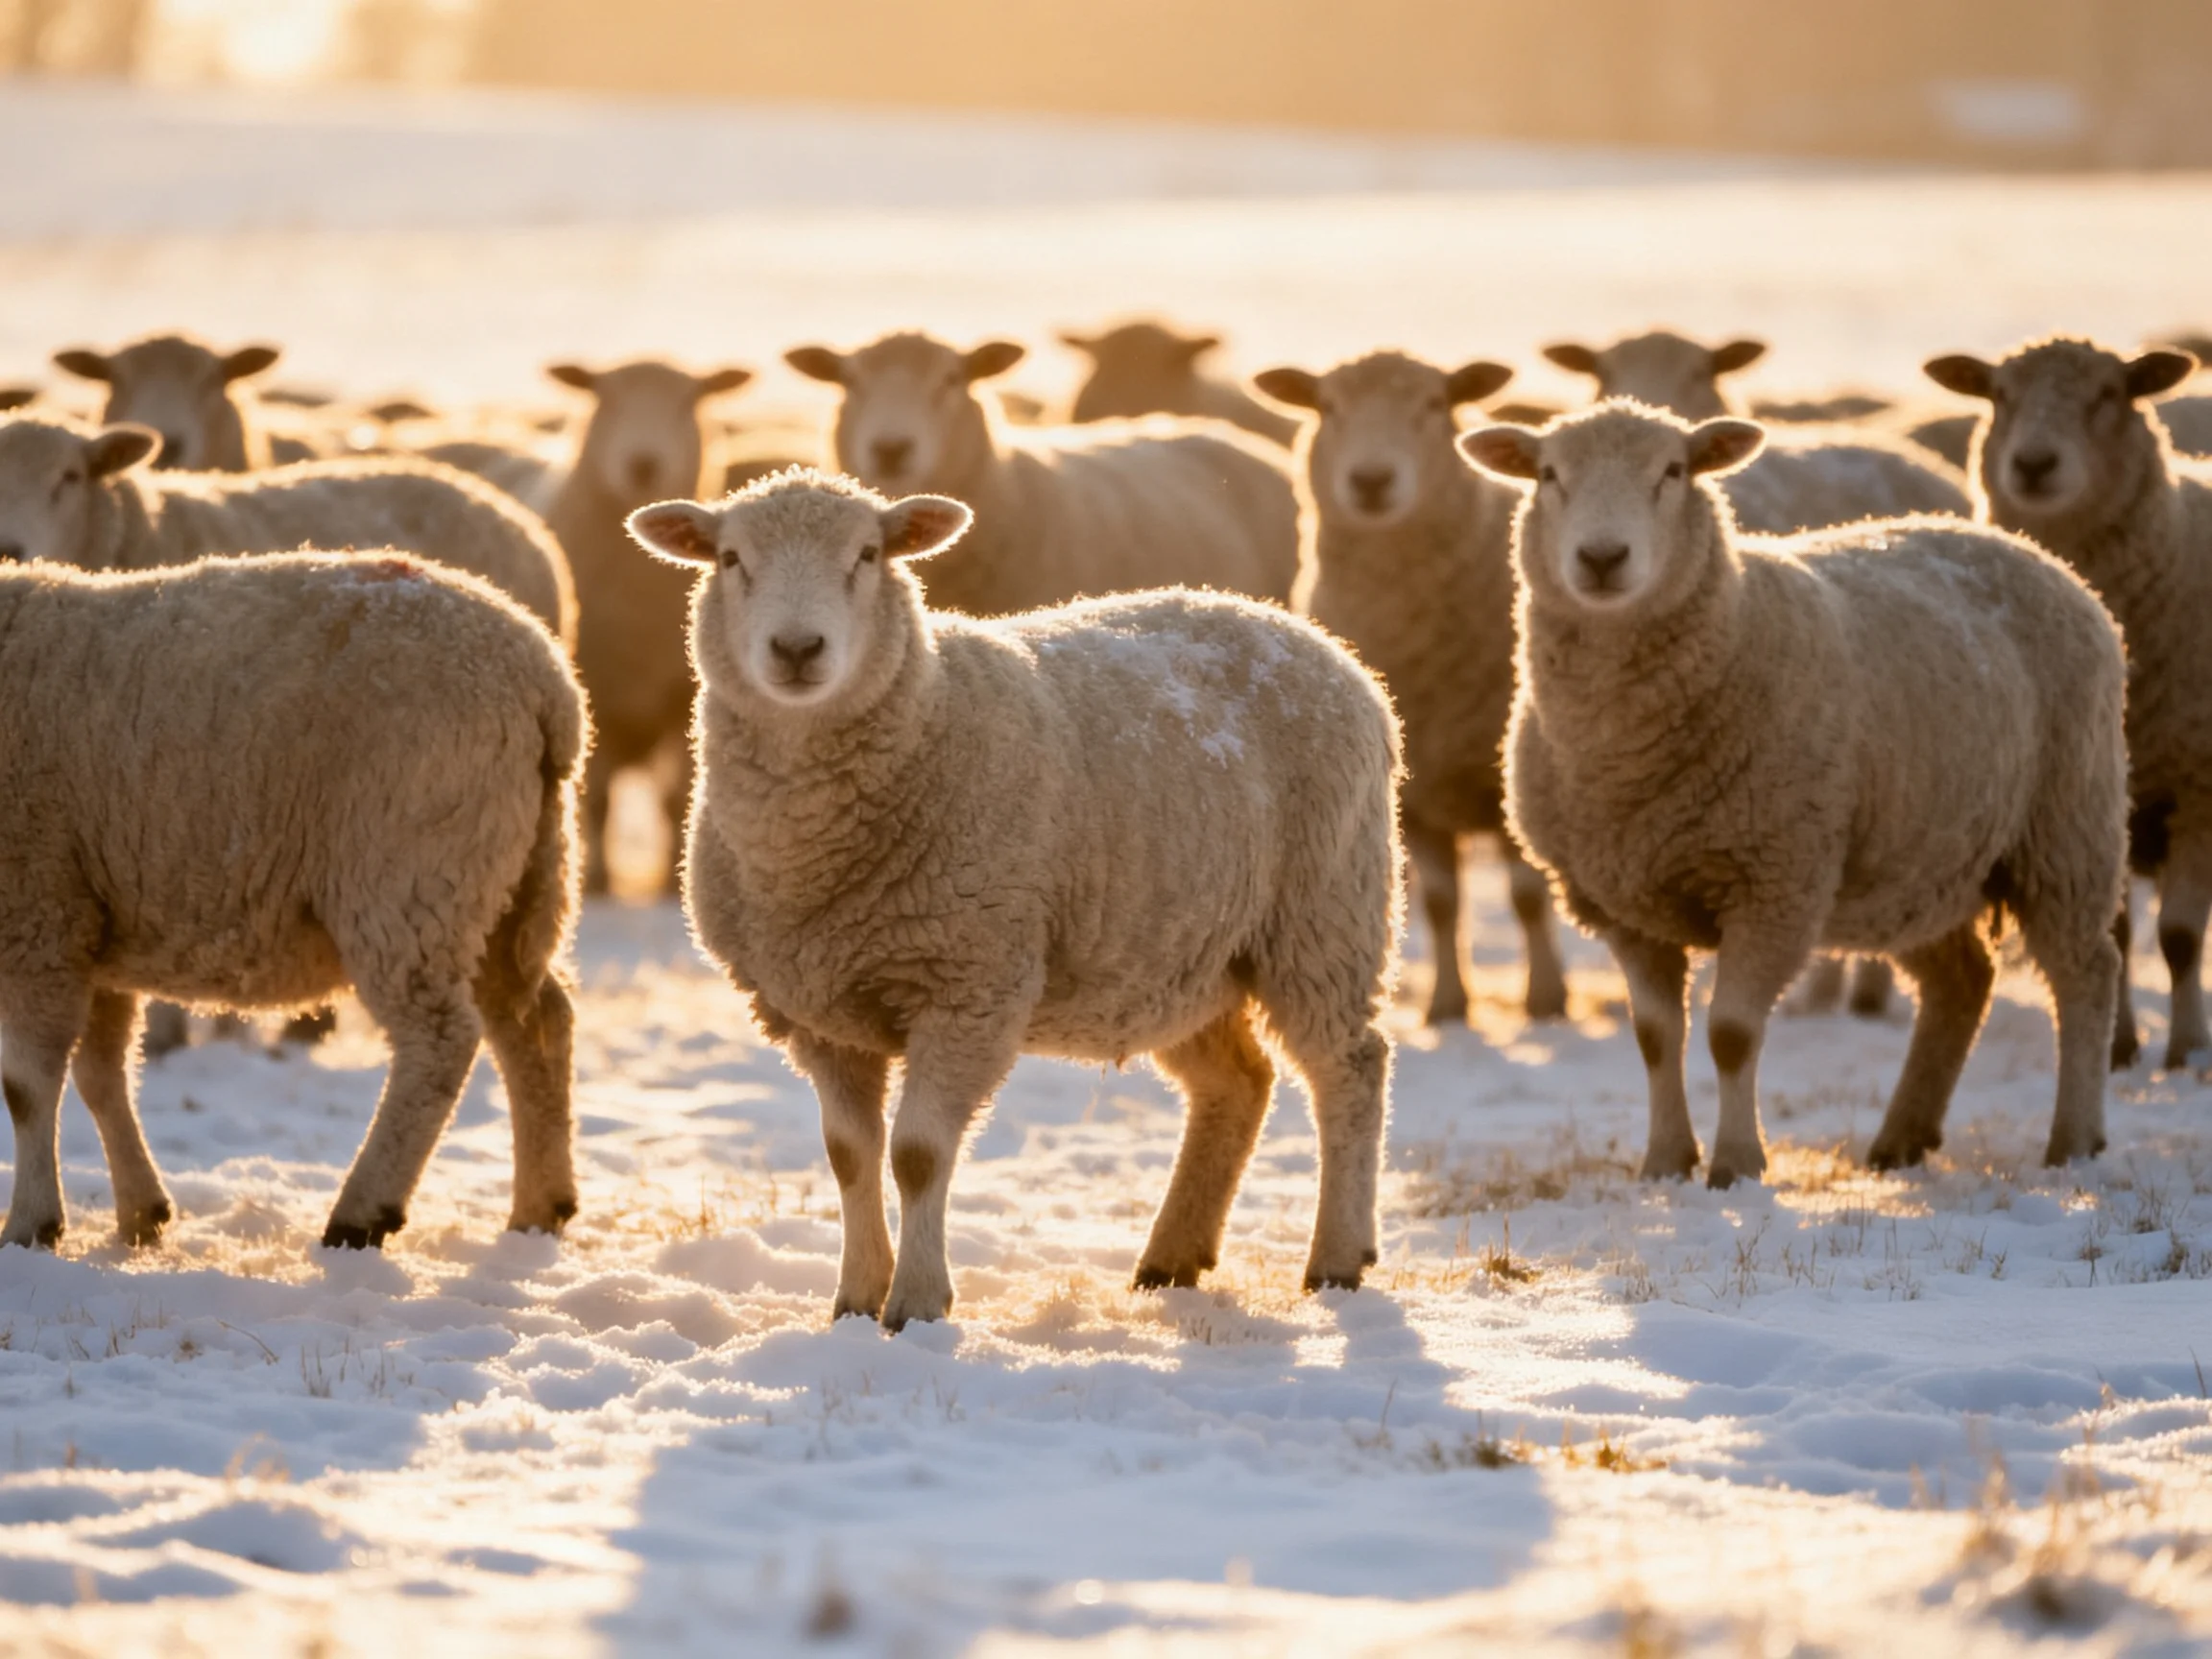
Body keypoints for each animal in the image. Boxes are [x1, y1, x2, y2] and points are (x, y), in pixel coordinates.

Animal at [0, 550, 586, 1251]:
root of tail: (546, 682)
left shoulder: (39, 909)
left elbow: (29, 1086)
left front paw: (31, 1224)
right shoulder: (93, 918)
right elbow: (103, 1074)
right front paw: (142, 1212)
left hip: (410, 874)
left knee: (441, 1040)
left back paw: (363, 1212)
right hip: (505, 881)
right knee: (538, 1021)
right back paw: (540, 1206)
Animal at [627, 469, 1401, 1330]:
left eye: (868, 554)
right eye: (731, 559)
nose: (797, 650)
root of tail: (1323, 643)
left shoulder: (970, 984)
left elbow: (918, 1155)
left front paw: (917, 1303)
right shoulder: (820, 1012)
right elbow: (850, 1156)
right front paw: (856, 1298)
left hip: (1324, 911)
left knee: (1351, 1066)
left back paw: (1337, 1258)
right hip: (1178, 954)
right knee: (1238, 1084)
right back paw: (1172, 1258)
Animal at [1251, 351, 1566, 1027]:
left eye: (1433, 404)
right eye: (1328, 406)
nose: (1371, 480)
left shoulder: (1506, 775)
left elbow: (1528, 895)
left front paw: (1546, 998)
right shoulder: (1414, 790)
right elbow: (1441, 904)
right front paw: (1447, 1004)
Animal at [1460, 402, 2126, 1187]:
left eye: (1674, 471)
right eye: (1548, 474)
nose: (1600, 558)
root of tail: (2028, 549)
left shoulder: (1774, 881)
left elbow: (1731, 1035)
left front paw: (1737, 1165)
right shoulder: (1624, 902)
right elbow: (1655, 1037)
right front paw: (1665, 1162)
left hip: (2067, 826)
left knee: (2085, 973)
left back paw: (2073, 1142)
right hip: (1924, 863)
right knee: (1961, 980)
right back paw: (1902, 1139)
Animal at [1923, 337, 2212, 1069]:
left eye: (2111, 393)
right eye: (1999, 395)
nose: (2033, 463)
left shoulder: (2199, 787)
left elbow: (2180, 938)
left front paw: (2186, 1049)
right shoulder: (2098, 802)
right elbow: (2118, 930)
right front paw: (2122, 1045)